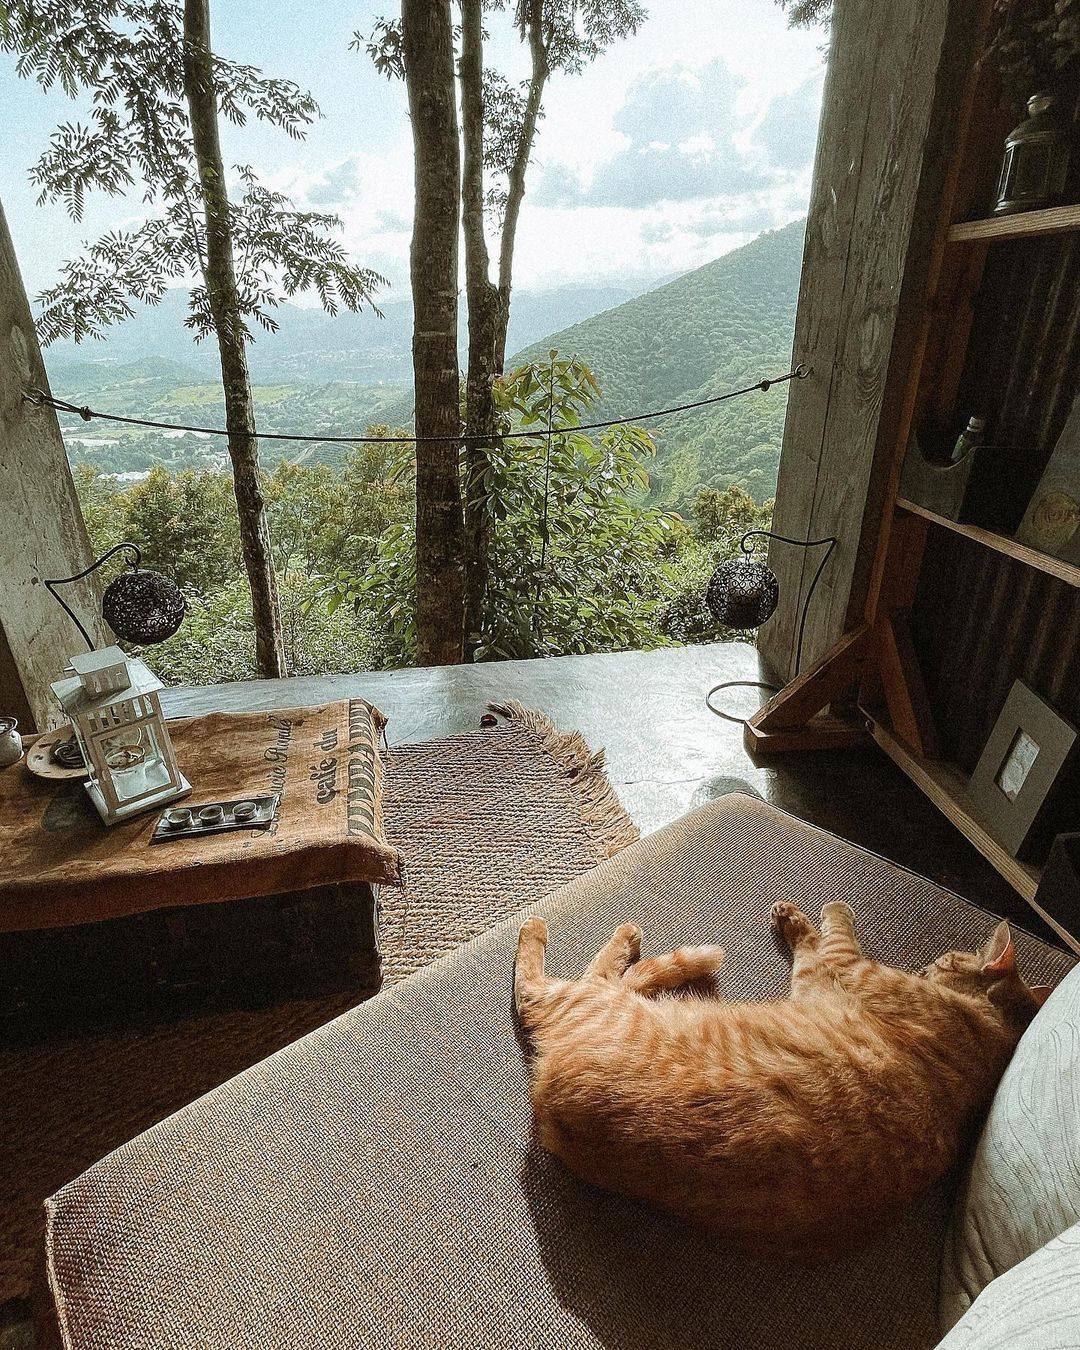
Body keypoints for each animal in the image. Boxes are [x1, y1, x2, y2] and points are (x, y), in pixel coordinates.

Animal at [515, 901, 1053, 1247]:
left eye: (944, 960)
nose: (924, 968)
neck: (994, 1034)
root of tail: (544, 1100)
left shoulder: (841, 971)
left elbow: (830, 935)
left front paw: (807, 917)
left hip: (588, 1002)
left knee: (553, 985)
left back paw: (586, 933)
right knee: (608, 980)